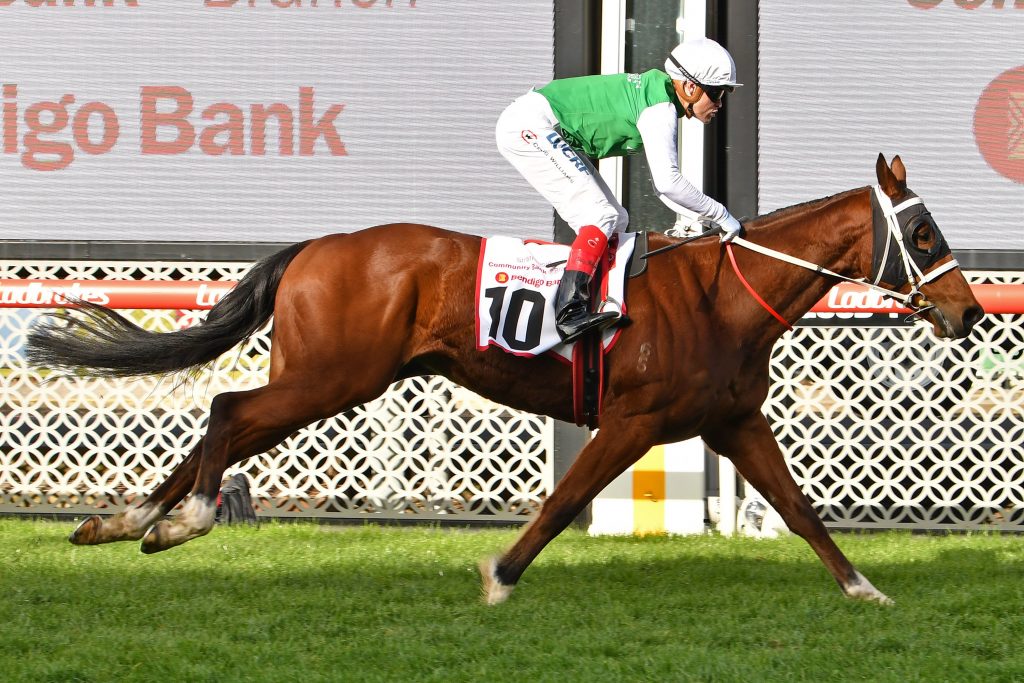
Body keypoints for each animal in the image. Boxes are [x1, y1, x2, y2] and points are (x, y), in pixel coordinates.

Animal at [26, 155, 983, 606]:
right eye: (924, 234)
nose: (969, 311)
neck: (723, 295)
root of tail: (318, 246)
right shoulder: (633, 422)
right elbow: (562, 502)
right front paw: (500, 575)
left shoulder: (734, 421)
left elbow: (798, 510)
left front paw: (865, 587)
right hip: (332, 377)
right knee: (227, 411)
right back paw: (177, 520)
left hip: (334, 378)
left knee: (216, 427)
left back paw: (122, 521)